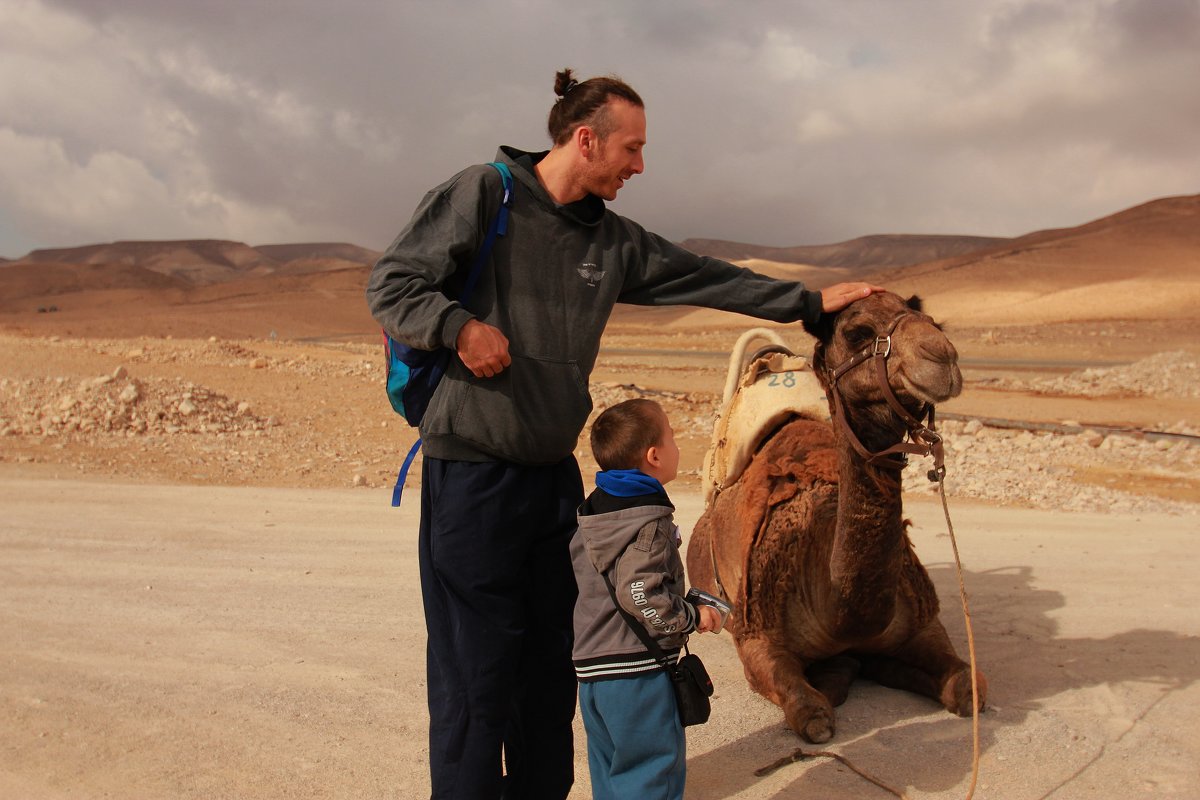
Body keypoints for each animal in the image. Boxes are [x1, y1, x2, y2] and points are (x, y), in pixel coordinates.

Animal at [691, 292, 988, 743]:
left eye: (935, 323)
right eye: (856, 332)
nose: (941, 355)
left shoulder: (923, 623)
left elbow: (969, 689)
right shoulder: (757, 636)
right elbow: (813, 716)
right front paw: (838, 676)